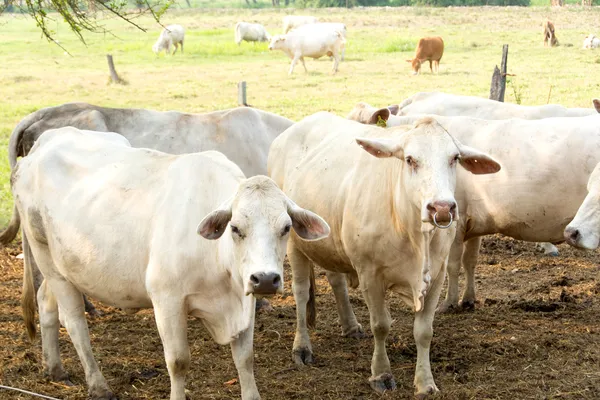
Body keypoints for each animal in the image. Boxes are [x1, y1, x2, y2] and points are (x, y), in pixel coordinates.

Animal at [17, 129, 332, 400]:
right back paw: (98, 385)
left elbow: (245, 359)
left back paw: (54, 368)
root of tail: (46, 140)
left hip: (63, 265)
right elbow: (178, 361)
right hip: (47, 259)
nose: (265, 279)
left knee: (45, 301)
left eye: (286, 227)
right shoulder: (166, 300)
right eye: (235, 227)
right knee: (74, 322)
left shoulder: (244, 301)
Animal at [268, 111, 502, 396]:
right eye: (410, 159)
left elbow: (424, 331)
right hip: (295, 241)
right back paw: (302, 347)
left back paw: (350, 325)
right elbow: (381, 325)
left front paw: (425, 382)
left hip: (330, 242)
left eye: (454, 158)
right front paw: (381, 374)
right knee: (301, 293)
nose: (442, 208)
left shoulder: (436, 276)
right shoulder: (370, 274)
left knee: (336, 280)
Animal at [350, 108, 600, 312]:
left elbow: (453, 265)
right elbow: (470, 261)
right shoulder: (474, 222)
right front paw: (468, 299)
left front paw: (449, 303)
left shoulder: (455, 222)